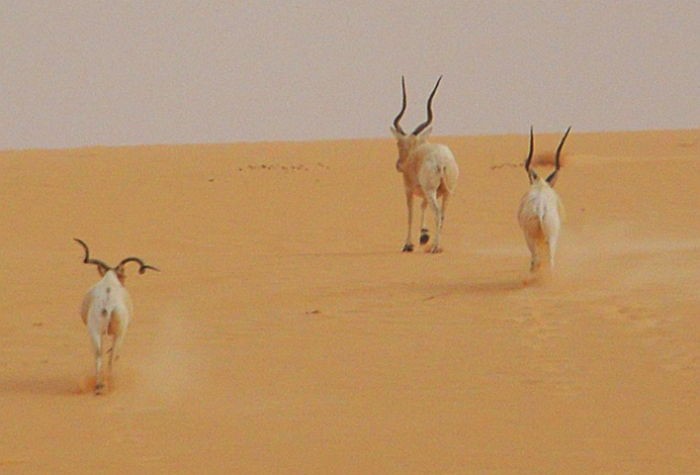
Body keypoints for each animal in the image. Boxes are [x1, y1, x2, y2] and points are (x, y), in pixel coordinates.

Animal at [75, 238, 160, 394]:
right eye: (123, 275)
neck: (110, 280)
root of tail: (108, 302)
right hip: (119, 333)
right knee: (112, 356)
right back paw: (110, 383)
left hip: (95, 331)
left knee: (98, 355)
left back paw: (99, 386)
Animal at [388, 75, 460, 253]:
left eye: (398, 143)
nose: (399, 165)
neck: (415, 152)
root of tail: (441, 161)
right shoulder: (426, 193)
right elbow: (422, 206)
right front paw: (423, 236)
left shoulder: (408, 190)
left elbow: (410, 213)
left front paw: (408, 244)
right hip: (445, 193)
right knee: (442, 214)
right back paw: (436, 245)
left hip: (431, 190)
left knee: (437, 212)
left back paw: (435, 247)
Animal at [516, 126, 572, 274]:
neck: (541, 185)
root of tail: (540, 208)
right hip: (547, 238)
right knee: (546, 260)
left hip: (533, 237)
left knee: (537, 259)